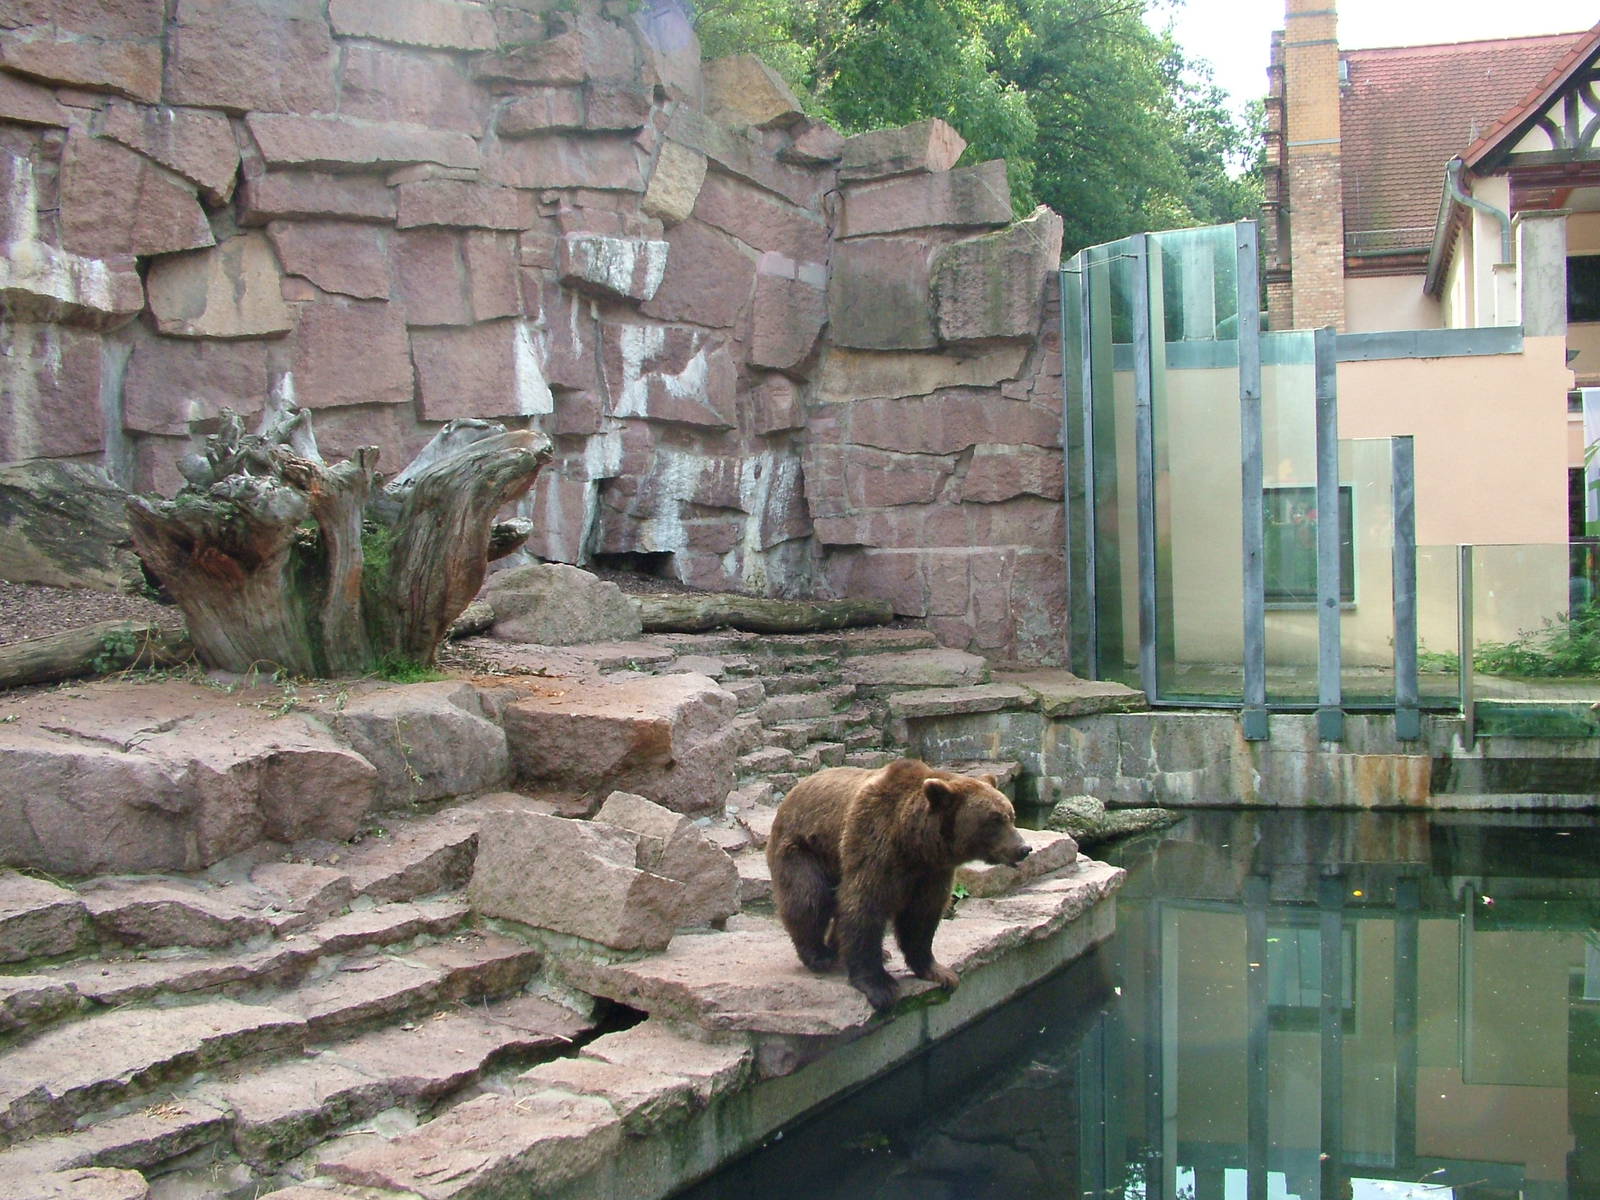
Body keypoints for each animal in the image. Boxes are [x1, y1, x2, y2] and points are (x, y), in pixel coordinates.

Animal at [766, 758, 1032, 1012]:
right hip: (804, 848)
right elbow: (864, 907)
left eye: (1011, 815)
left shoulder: (931, 874)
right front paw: (880, 987)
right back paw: (820, 955)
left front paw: (940, 973)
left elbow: (921, 918)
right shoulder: (874, 847)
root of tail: (792, 794)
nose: (1024, 848)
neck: (914, 844)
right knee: (809, 898)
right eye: (995, 819)